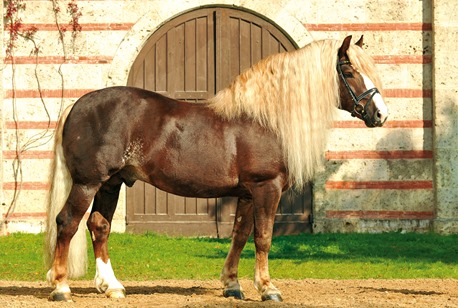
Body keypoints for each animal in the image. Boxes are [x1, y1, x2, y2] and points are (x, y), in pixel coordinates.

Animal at [44, 35, 388, 300]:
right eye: (349, 70)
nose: (380, 114)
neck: (265, 119)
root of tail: (78, 104)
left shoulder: (248, 193)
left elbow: (240, 235)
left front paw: (232, 285)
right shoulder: (267, 187)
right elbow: (263, 237)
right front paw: (268, 288)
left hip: (110, 183)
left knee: (99, 226)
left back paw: (112, 286)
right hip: (88, 183)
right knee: (68, 223)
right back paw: (61, 287)